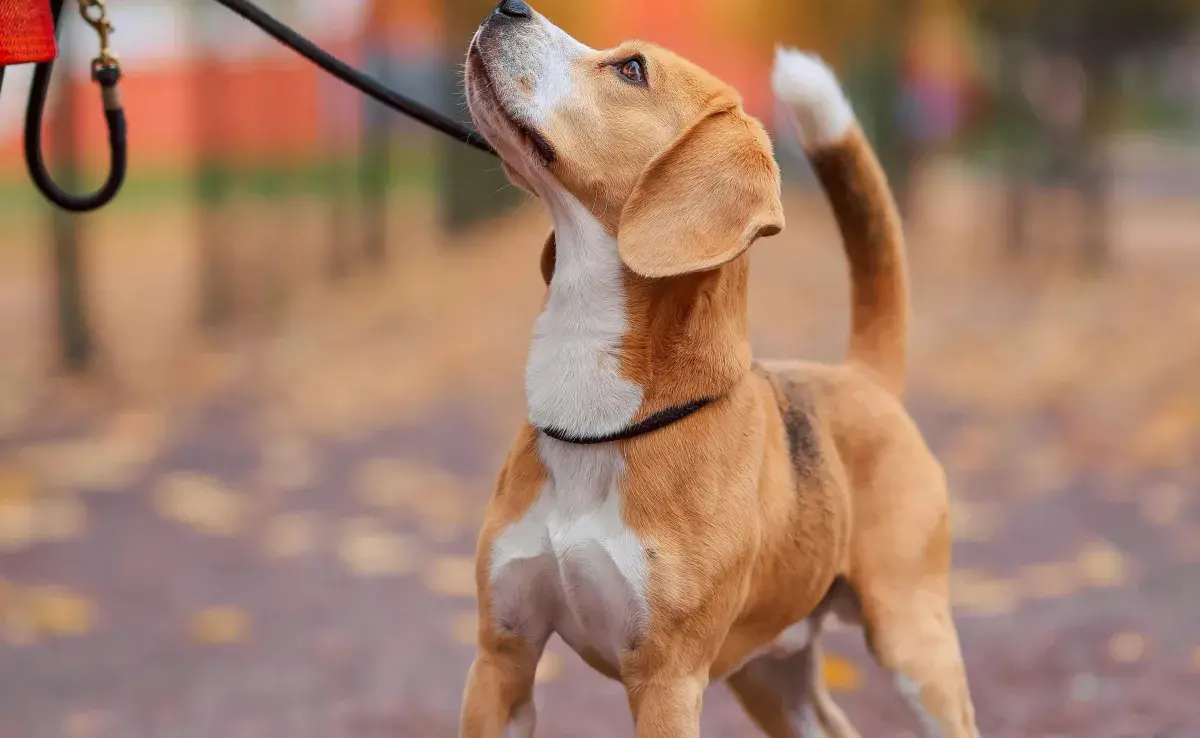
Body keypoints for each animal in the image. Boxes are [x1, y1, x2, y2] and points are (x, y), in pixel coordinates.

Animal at [458, 1, 974, 738]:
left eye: (631, 69)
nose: (509, 6)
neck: (605, 418)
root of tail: (862, 376)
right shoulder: (501, 658)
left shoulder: (666, 684)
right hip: (769, 675)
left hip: (913, 642)